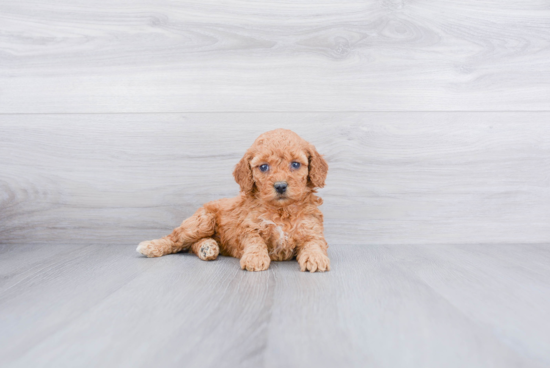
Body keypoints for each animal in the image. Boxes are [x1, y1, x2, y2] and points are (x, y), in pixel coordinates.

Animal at [137, 128, 330, 272]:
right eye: (264, 167)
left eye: (295, 164)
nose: (281, 186)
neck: (281, 210)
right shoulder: (249, 227)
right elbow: (255, 241)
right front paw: (255, 258)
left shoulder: (312, 229)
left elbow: (314, 243)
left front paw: (316, 257)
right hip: (202, 221)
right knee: (176, 239)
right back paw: (152, 246)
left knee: (191, 244)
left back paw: (207, 247)